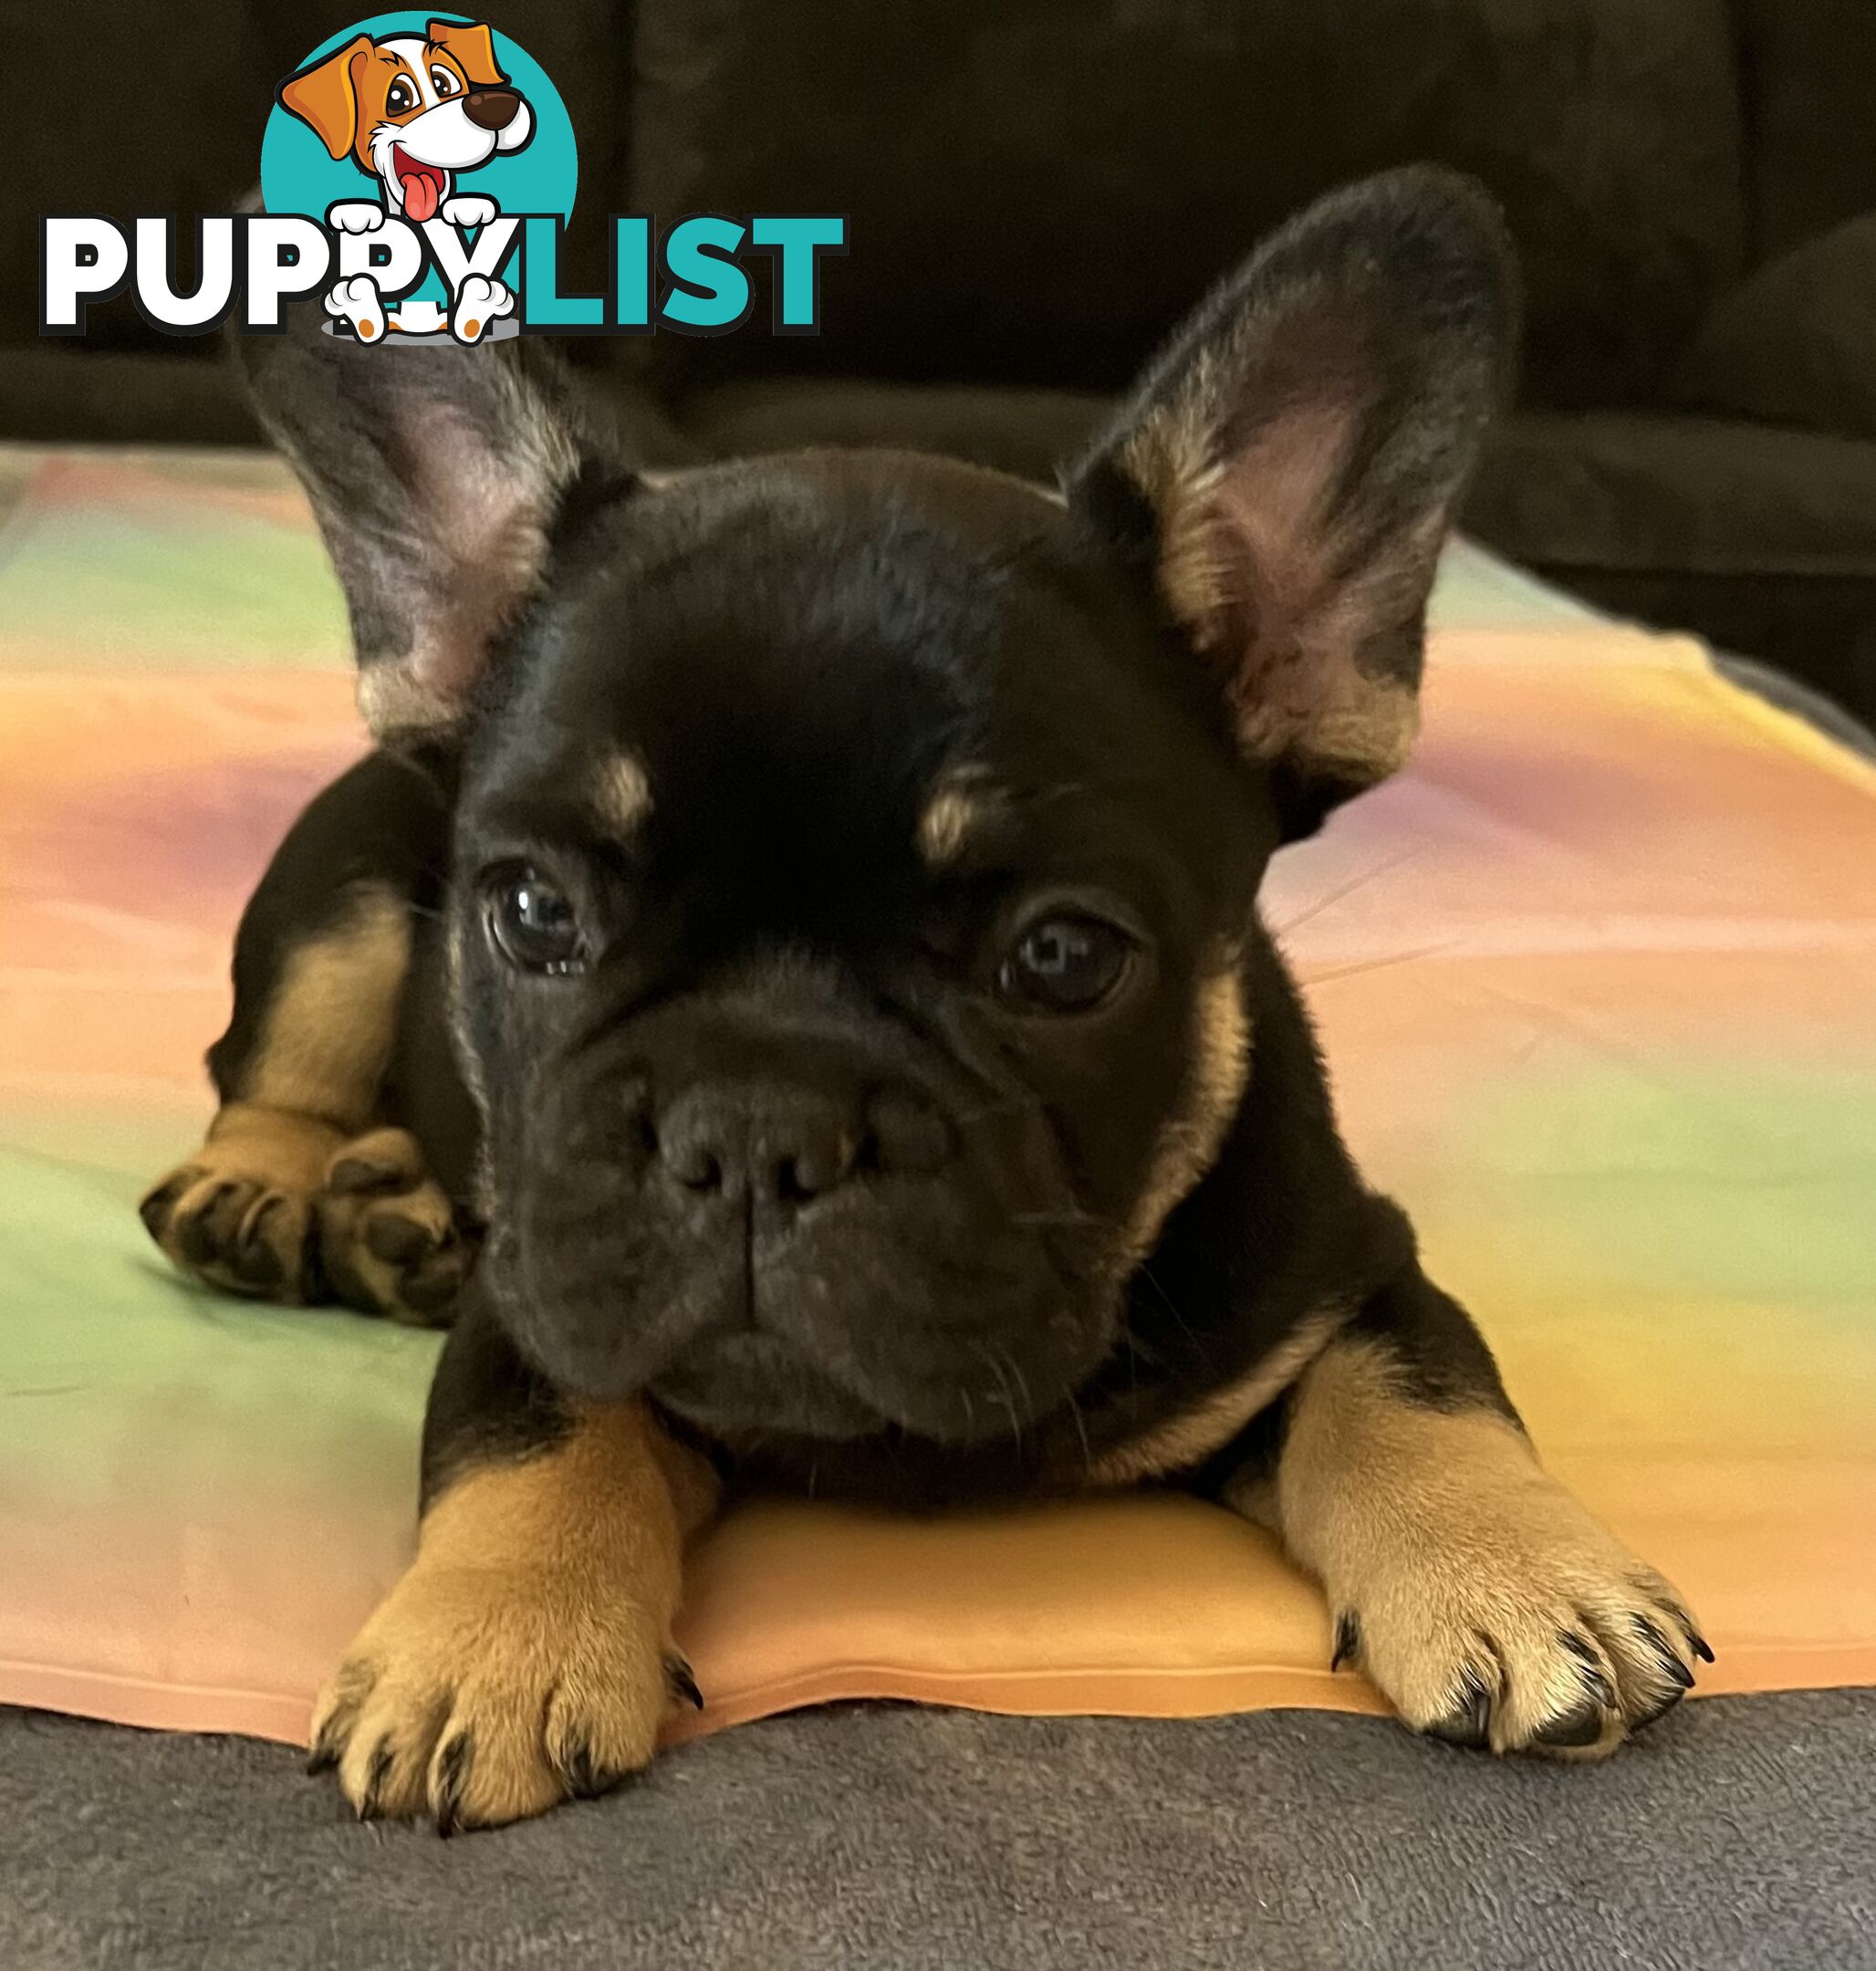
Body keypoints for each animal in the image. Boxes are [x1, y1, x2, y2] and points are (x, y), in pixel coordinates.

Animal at [139, 169, 1710, 1829]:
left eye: (1064, 957)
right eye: (533, 914)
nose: (754, 1127)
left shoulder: (1349, 1264)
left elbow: (1417, 1384)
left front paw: (1523, 1571)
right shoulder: (549, 1295)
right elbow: (531, 1435)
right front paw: (487, 1644)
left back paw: (392, 1209)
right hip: (342, 894)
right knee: (276, 1072)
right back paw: (272, 1194)